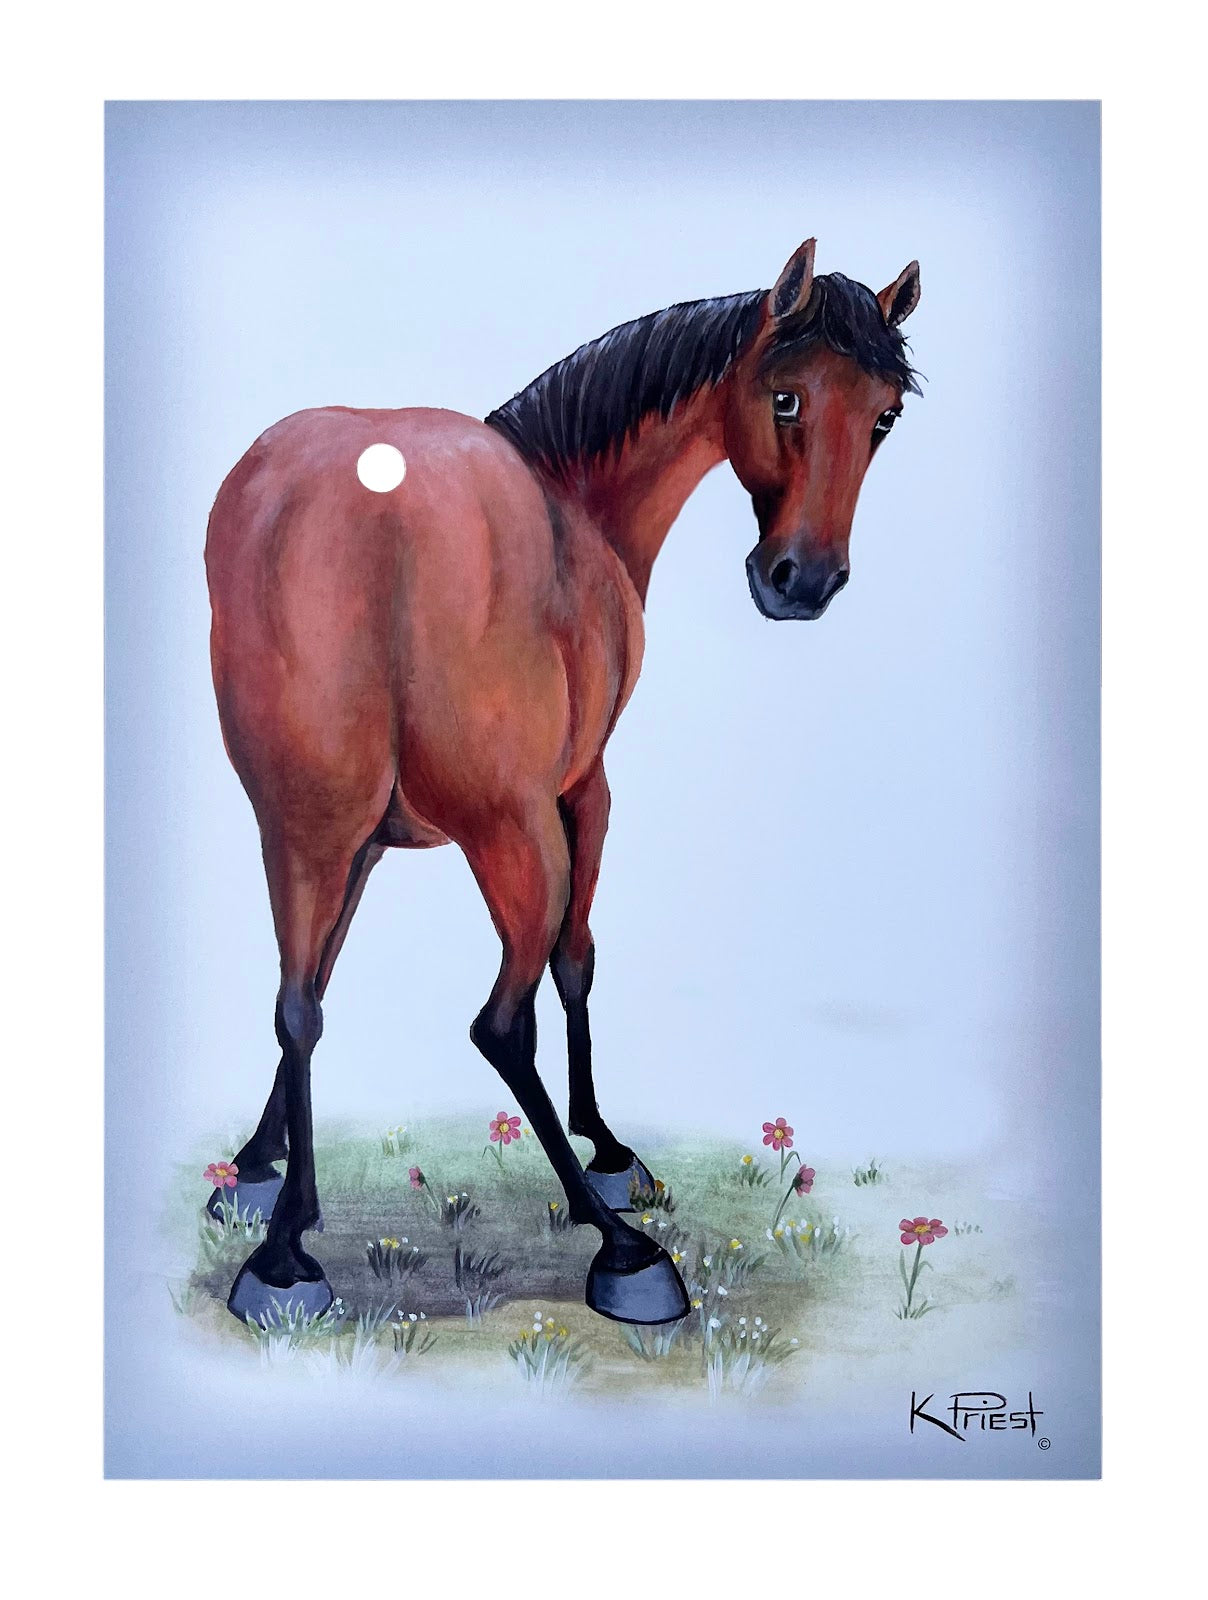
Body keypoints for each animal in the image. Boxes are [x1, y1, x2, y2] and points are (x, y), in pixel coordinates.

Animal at [204, 238, 921, 1326]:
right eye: (786, 397)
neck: (568, 496)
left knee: (303, 998)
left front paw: (262, 1169)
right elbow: (575, 962)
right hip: (512, 835)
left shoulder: (355, 837)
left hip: (299, 823)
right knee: (501, 1022)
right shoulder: (583, 791)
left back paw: (285, 1255)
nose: (801, 580)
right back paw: (621, 1247)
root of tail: (367, 502)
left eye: (882, 416)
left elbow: (312, 989)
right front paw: (611, 1153)